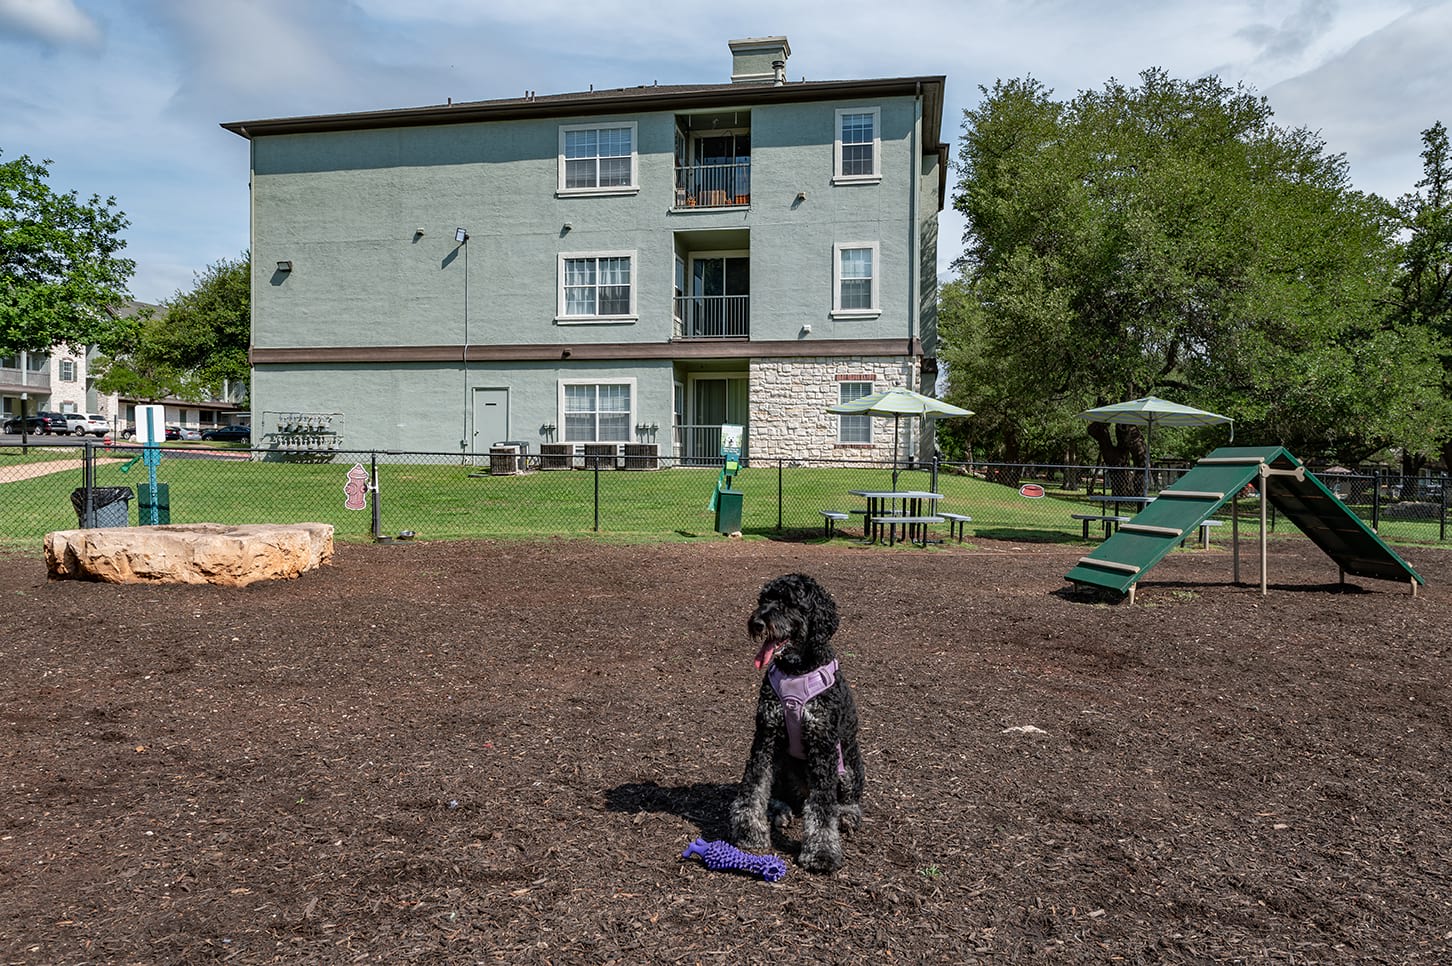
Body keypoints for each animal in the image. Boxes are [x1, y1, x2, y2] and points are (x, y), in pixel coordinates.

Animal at [728, 573, 864, 873]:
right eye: (764, 599)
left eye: (790, 602)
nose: (757, 623)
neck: (796, 670)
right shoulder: (766, 736)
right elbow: (754, 786)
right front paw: (749, 832)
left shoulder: (823, 745)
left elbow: (823, 806)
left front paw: (821, 852)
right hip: (783, 766)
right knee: (780, 793)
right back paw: (779, 810)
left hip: (848, 766)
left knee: (844, 799)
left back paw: (846, 815)